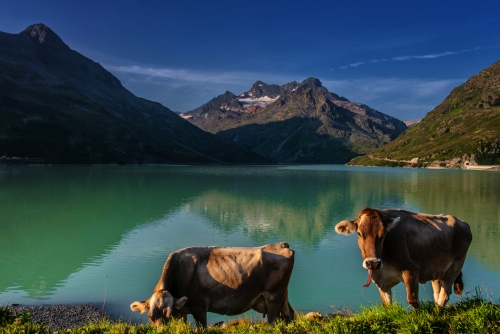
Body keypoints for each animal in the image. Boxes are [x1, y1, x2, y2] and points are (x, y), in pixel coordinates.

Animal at [130, 241, 292, 328]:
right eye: (150, 317)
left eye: (169, 316)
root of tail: (281, 245)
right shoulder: (183, 311)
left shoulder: (199, 307)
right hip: (282, 298)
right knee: (289, 315)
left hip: (273, 298)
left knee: (273, 322)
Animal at [336, 207, 472, 310]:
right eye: (359, 233)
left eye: (384, 234)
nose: (373, 263)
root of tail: (462, 222)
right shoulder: (380, 278)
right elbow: (386, 304)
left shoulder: (411, 268)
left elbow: (413, 300)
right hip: (437, 270)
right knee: (438, 292)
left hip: (456, 265)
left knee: (445, 294)